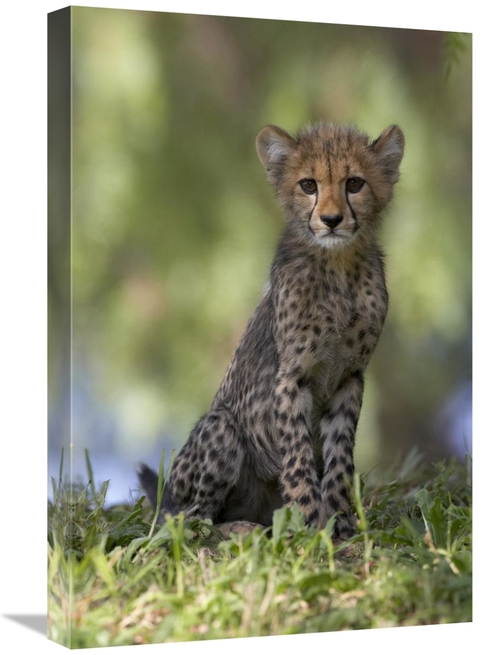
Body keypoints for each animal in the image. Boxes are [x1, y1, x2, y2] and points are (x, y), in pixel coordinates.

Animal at [138, 120, 405, 540]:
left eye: (355, 183)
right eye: (308, 185)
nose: (331, 220)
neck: (338, 265)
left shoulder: (350, 377)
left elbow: (340, 458)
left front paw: (339, 522)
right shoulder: (291, 377)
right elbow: (297, 456)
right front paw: (310, 522)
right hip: (222, 430)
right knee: (193, 520)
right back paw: (242, 528)